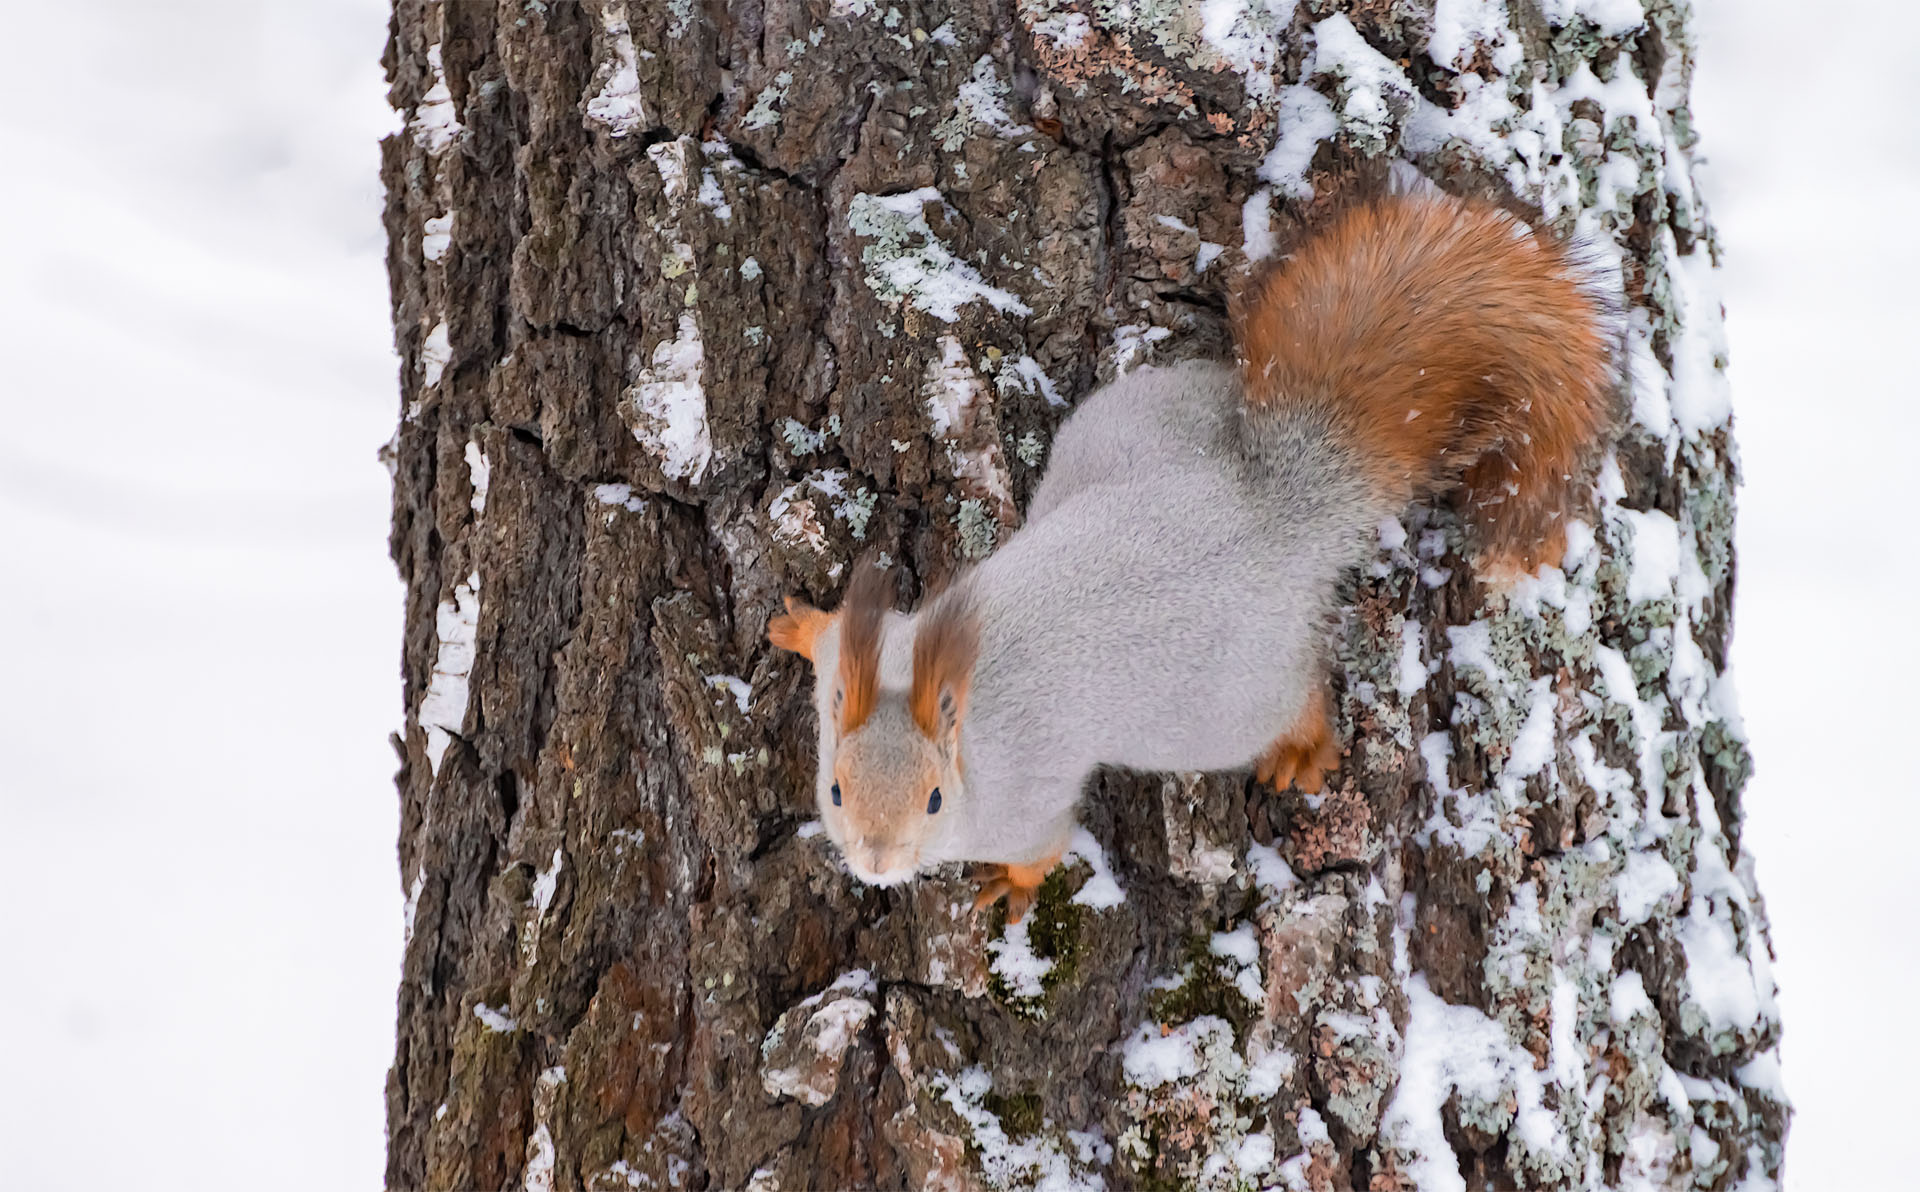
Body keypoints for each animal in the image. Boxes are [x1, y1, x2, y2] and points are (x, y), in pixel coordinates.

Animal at [764, 186, 1620, 921]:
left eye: (936, 801)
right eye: (834, 791)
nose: (877, 864)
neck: (942, 708)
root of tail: (1272, 512)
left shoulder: (1022, 804)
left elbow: (1041, 847)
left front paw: (1012, 887)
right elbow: (833, 637)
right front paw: (800, 626)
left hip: (1225, 706)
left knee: (1296, 697)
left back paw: (1304, 746)